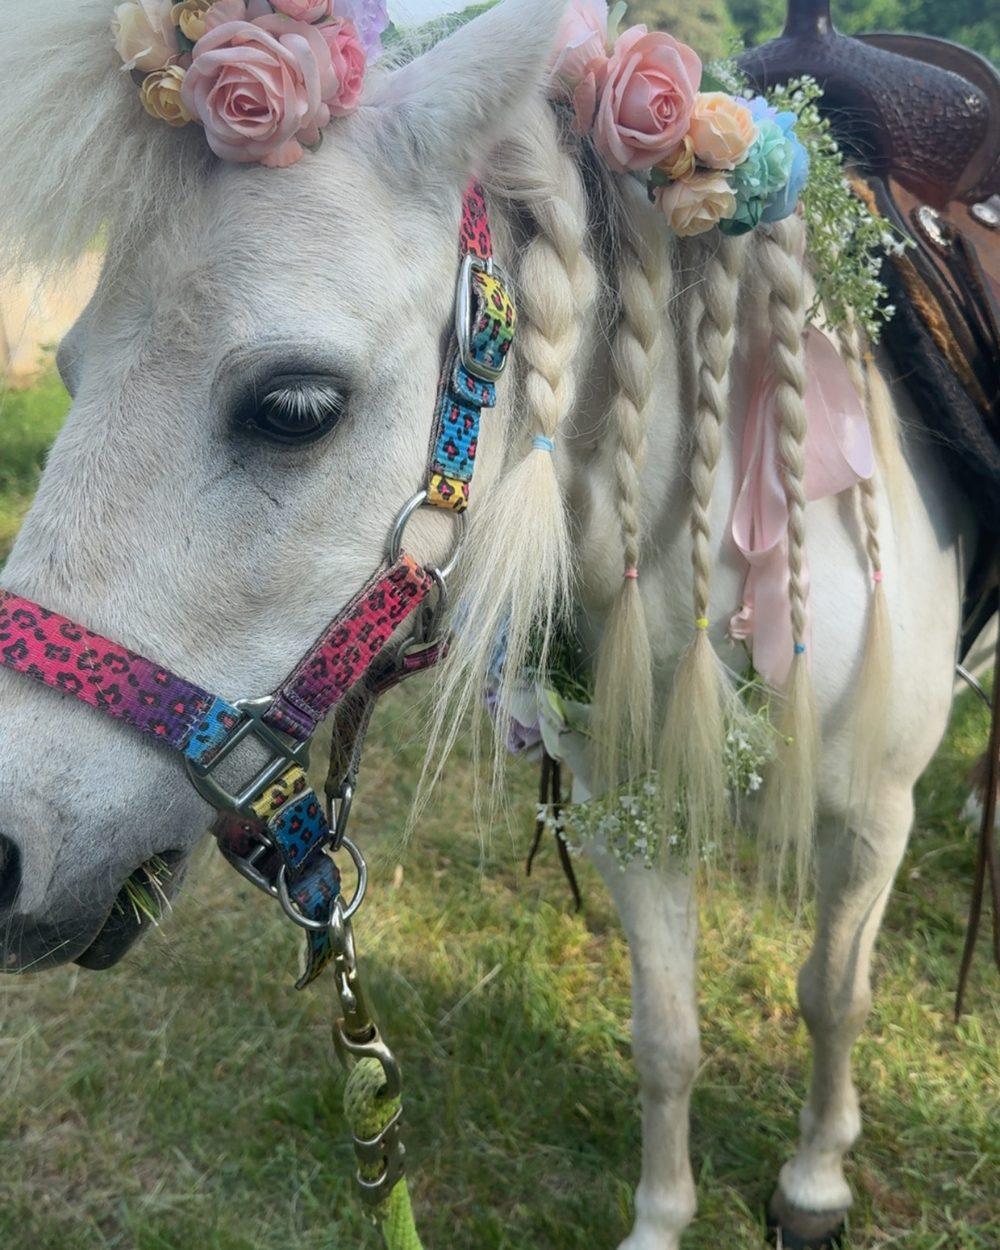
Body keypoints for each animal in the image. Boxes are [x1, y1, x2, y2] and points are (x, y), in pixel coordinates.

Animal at [0, 0, 977, 1246]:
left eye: (295, 407)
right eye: (71, 370)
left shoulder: (869, 822)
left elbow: (831, 997)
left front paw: (813, 1180)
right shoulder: (628, 809)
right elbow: (666, 1037)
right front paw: (662, 1217)